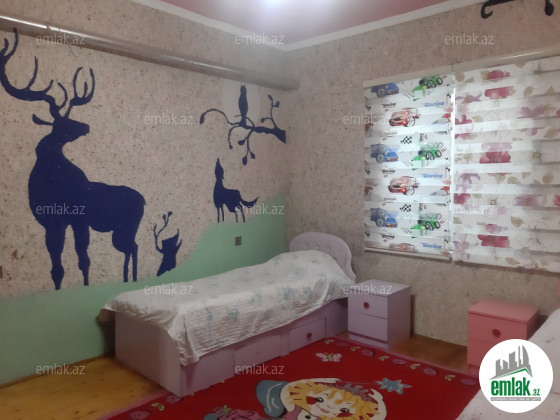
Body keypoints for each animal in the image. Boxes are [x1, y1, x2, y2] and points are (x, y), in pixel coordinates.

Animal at [0, 29, 145, 290]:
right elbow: (56, 269)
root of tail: (145, 201)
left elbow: (83, 260)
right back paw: (128, 279)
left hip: (125, 229)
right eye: (63, 123)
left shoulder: (79, 220)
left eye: (70, 119)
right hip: (121, 231)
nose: (85, 126)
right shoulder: (50, 222)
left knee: (133, 247)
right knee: (131, 248)